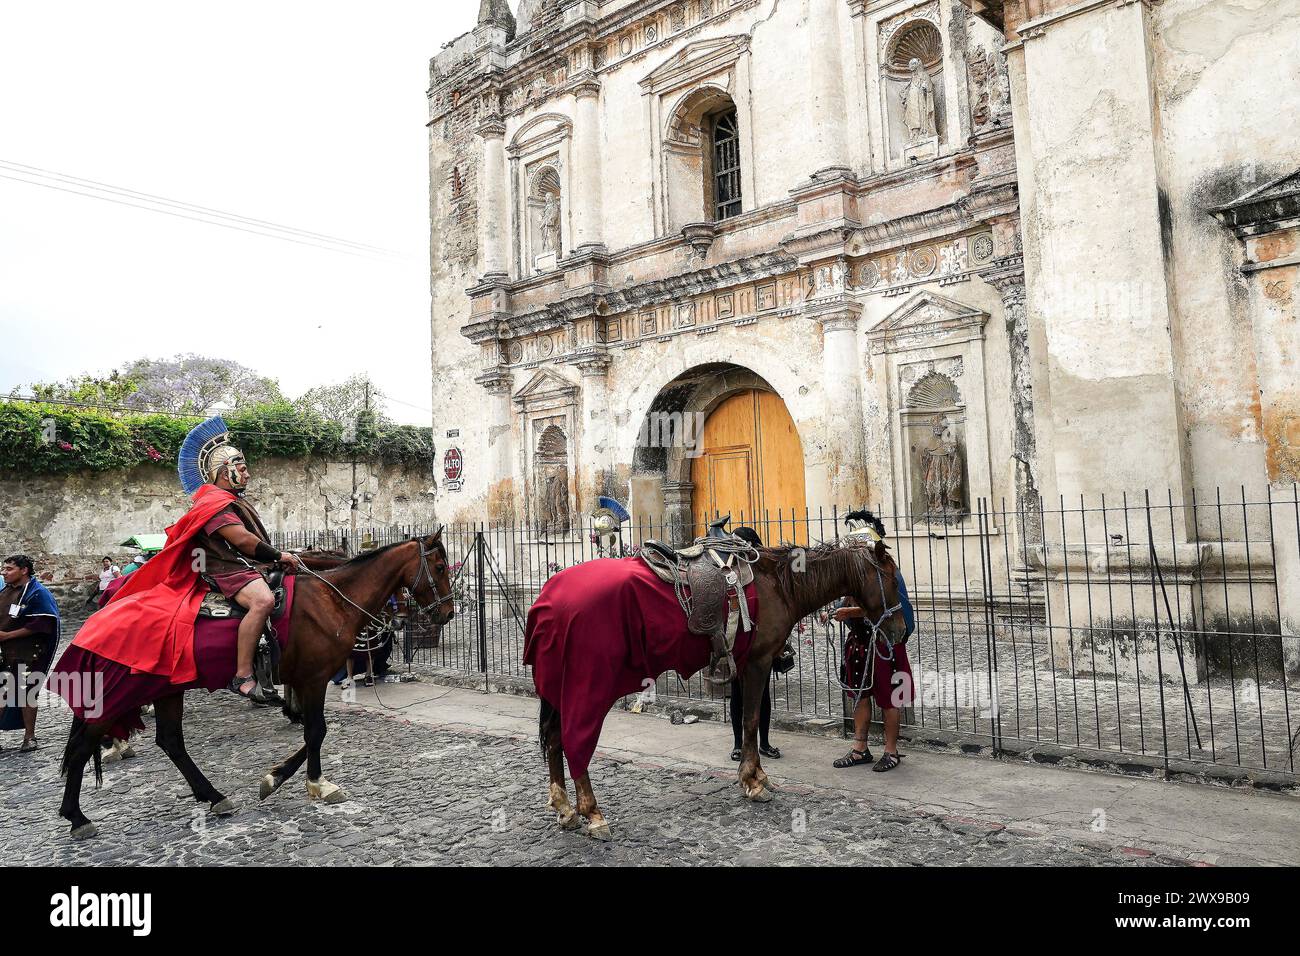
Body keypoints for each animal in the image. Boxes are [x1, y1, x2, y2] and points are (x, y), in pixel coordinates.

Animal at [57, 535, 457, 842]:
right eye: (439, 567)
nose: (447, 613)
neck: (331, 598)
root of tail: (102, 615)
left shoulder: (303, 680)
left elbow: (309, 730)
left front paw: (275, 777)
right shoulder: (314, 678)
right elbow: (317, 731)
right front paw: (316, 783)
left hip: (168, 689)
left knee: (170, 742)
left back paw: (213, 796)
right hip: (119, 694)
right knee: (83, 745)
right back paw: (77, 816)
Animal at [535, 535, 904, 842]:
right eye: (890, 577)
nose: (901, 629)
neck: (779, 584)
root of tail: (548, 598)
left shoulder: (740, 664)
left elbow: (746, 720)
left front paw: (754, 776)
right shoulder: (757, 662)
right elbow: (751, 721)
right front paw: (754, 781)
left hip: (558, 686)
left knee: (553, 738)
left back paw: (565, 808)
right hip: (587, 686)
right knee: (574, 739)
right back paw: (593, 813)